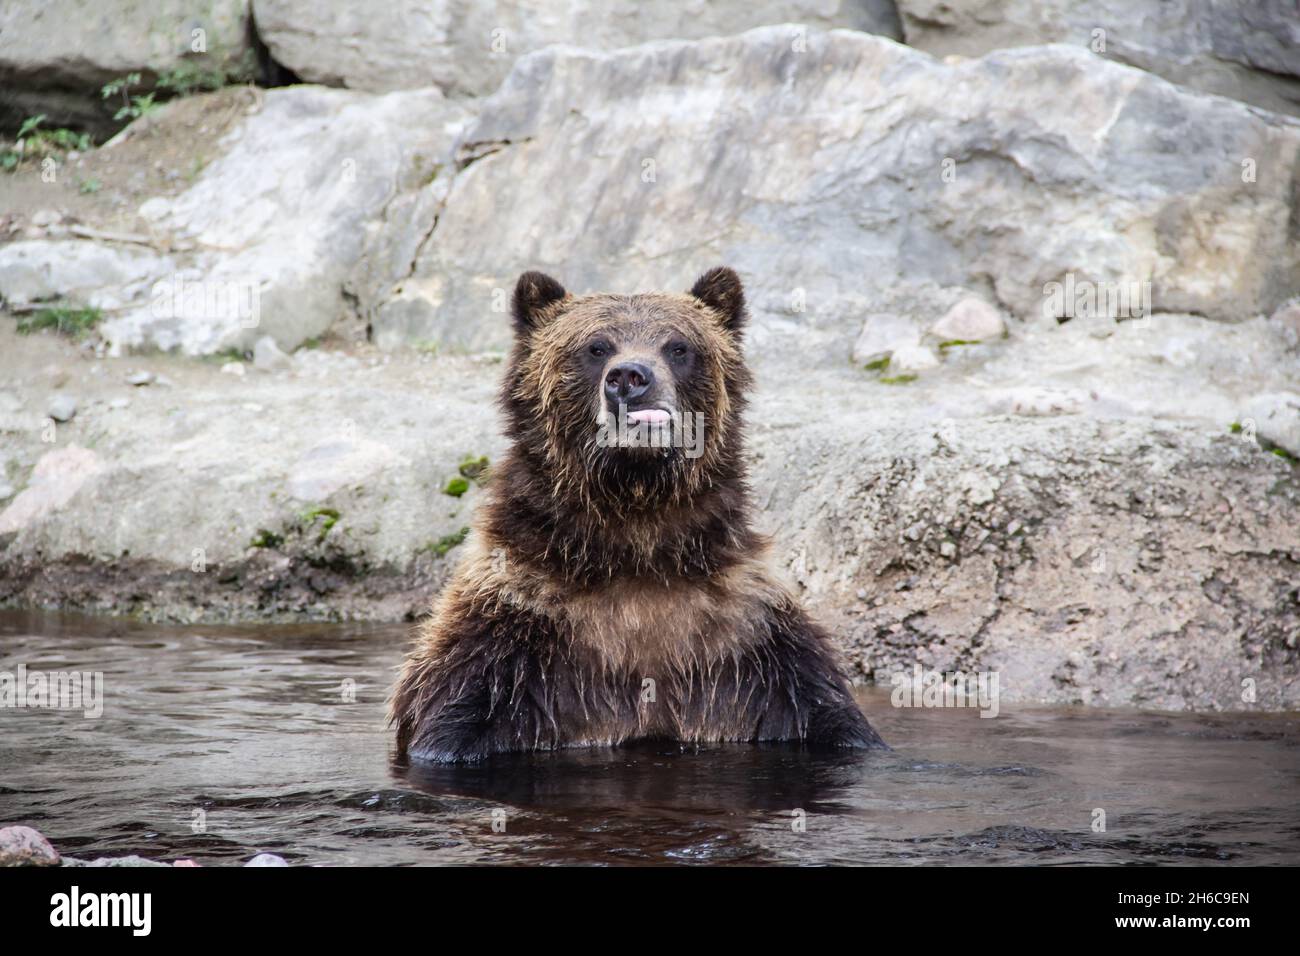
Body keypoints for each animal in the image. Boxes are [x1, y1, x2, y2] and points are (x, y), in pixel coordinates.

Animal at [390, 267, 889, 764]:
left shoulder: (751, 643)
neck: (636, 528)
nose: (630, 376)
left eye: (678, 346)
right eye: (596, 346)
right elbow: (455, 715)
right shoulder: (512, 631)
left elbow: (825, 711)